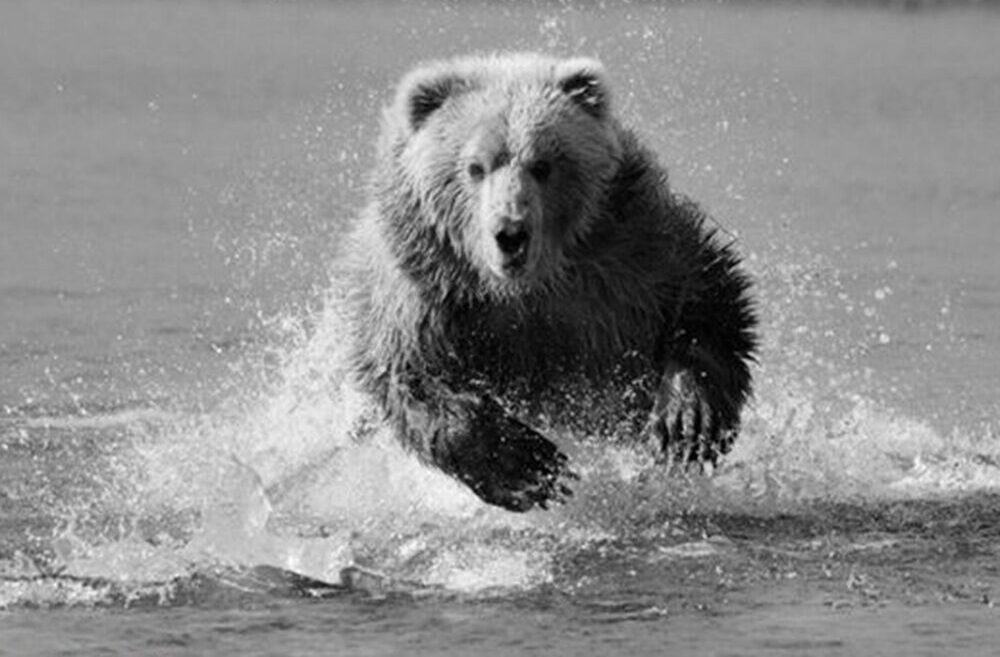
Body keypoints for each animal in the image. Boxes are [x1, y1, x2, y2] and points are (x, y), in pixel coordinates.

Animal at [341, 53, 757, 512]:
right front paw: (528, 466)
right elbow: (412, 373)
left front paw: (686, 422)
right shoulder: (428, 289)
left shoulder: (626, 251)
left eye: (543, 164)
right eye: (475, 167)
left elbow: (705, 296)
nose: (510, 233)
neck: (526, 287)